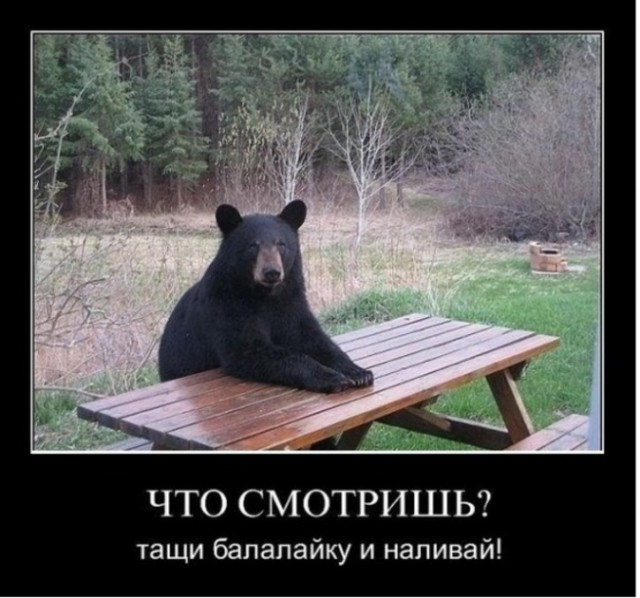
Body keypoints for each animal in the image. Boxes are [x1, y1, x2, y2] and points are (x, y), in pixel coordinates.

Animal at [158, 199, 374, 395]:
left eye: (281, 244)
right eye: (253, 246)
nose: (272, 272)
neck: (265, 296)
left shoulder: (291, 302)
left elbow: (312, 337)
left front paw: (358, 372)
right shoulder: (226, 306)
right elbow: (250, 349)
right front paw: (331, 377)